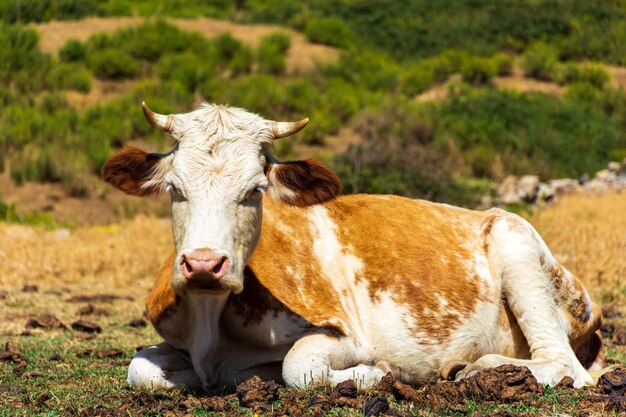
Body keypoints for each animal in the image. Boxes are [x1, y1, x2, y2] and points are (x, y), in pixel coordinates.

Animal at [103, 101, 600, 390]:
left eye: (255, 190)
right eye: (175, 188)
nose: (204, 265)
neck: (210, 322)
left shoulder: (346, 333)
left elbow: (300, 369)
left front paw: (378, 374)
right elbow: (140, 368)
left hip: (517, 246)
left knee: (562, 365)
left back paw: (476, 369)